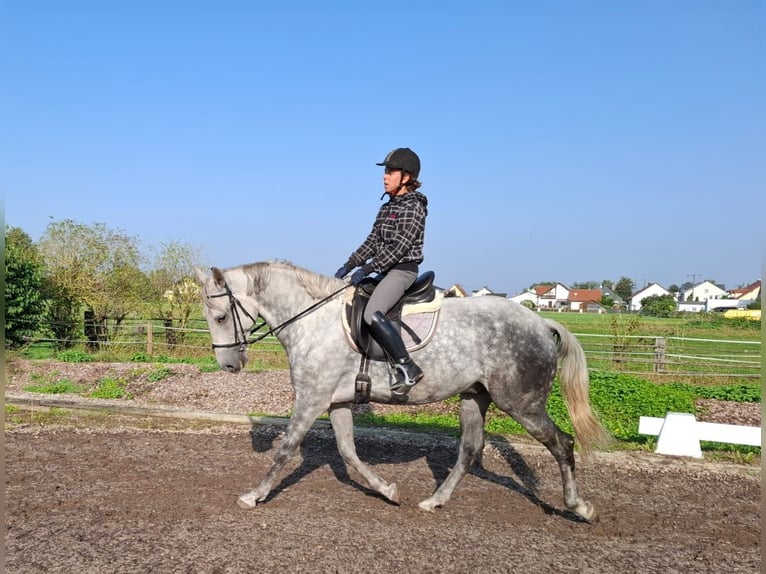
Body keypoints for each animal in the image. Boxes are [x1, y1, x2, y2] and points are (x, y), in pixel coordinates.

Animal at [196, 264, 612, 524]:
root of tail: (542, 323)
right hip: (474, 397)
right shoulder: (336, 401)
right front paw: (388, 490)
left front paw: (254, 494)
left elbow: (286, 448)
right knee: (470, 450)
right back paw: (435, 500)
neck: (312, 318)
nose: (229, 365)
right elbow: (348, 451)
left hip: (521, 403)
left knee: (562, 443)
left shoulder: (313, 398)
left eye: (220, 316)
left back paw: (581, 508)